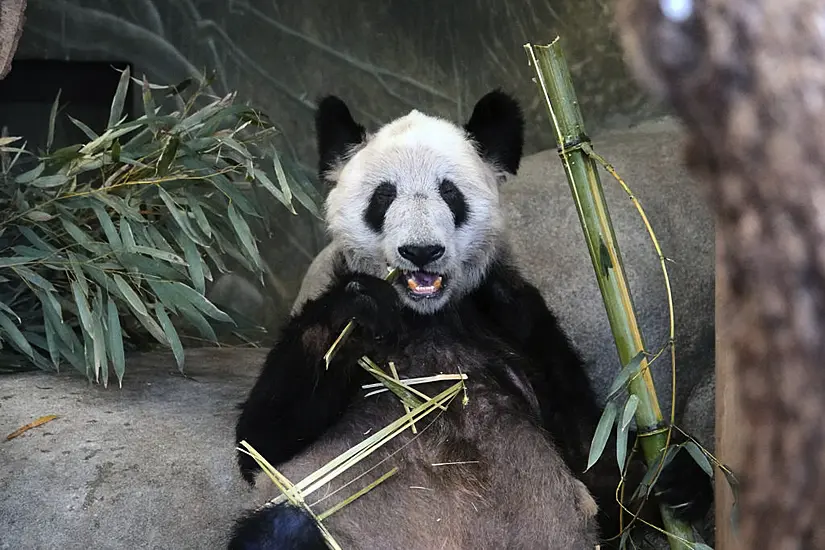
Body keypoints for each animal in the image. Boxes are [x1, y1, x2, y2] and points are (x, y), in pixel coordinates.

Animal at [225, 91, 708, 550]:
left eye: (450, 193)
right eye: (384, 196)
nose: (421, 251)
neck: (426, 317)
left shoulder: (516, 321)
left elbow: (599, 464)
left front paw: (677, 472)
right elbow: (262, 439)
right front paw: (358, 310)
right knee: (282, 529)